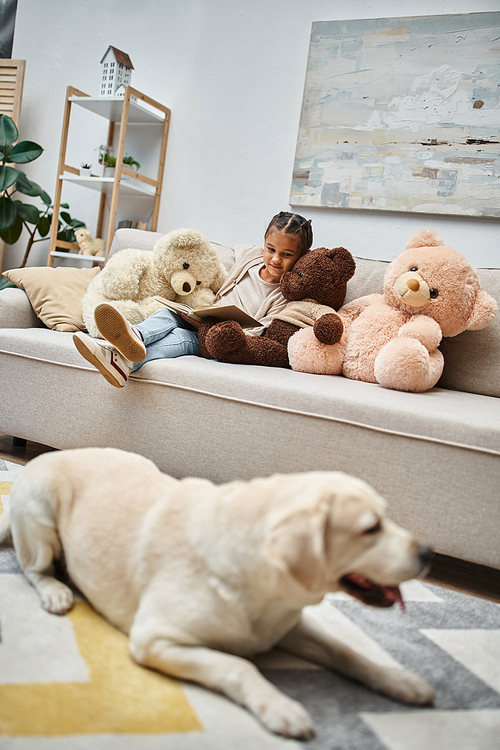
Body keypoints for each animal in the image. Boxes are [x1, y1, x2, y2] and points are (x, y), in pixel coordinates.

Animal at [0, 450, 434, 736]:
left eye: (387, 517)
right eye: (370, 528)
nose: (428, 552)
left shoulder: (288, 626)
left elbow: (345, 650)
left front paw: (398, 680)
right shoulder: (154, 638)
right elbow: (240, 665)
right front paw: (281, 706)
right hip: (39, 515)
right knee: (34, 568)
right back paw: (56, 590)